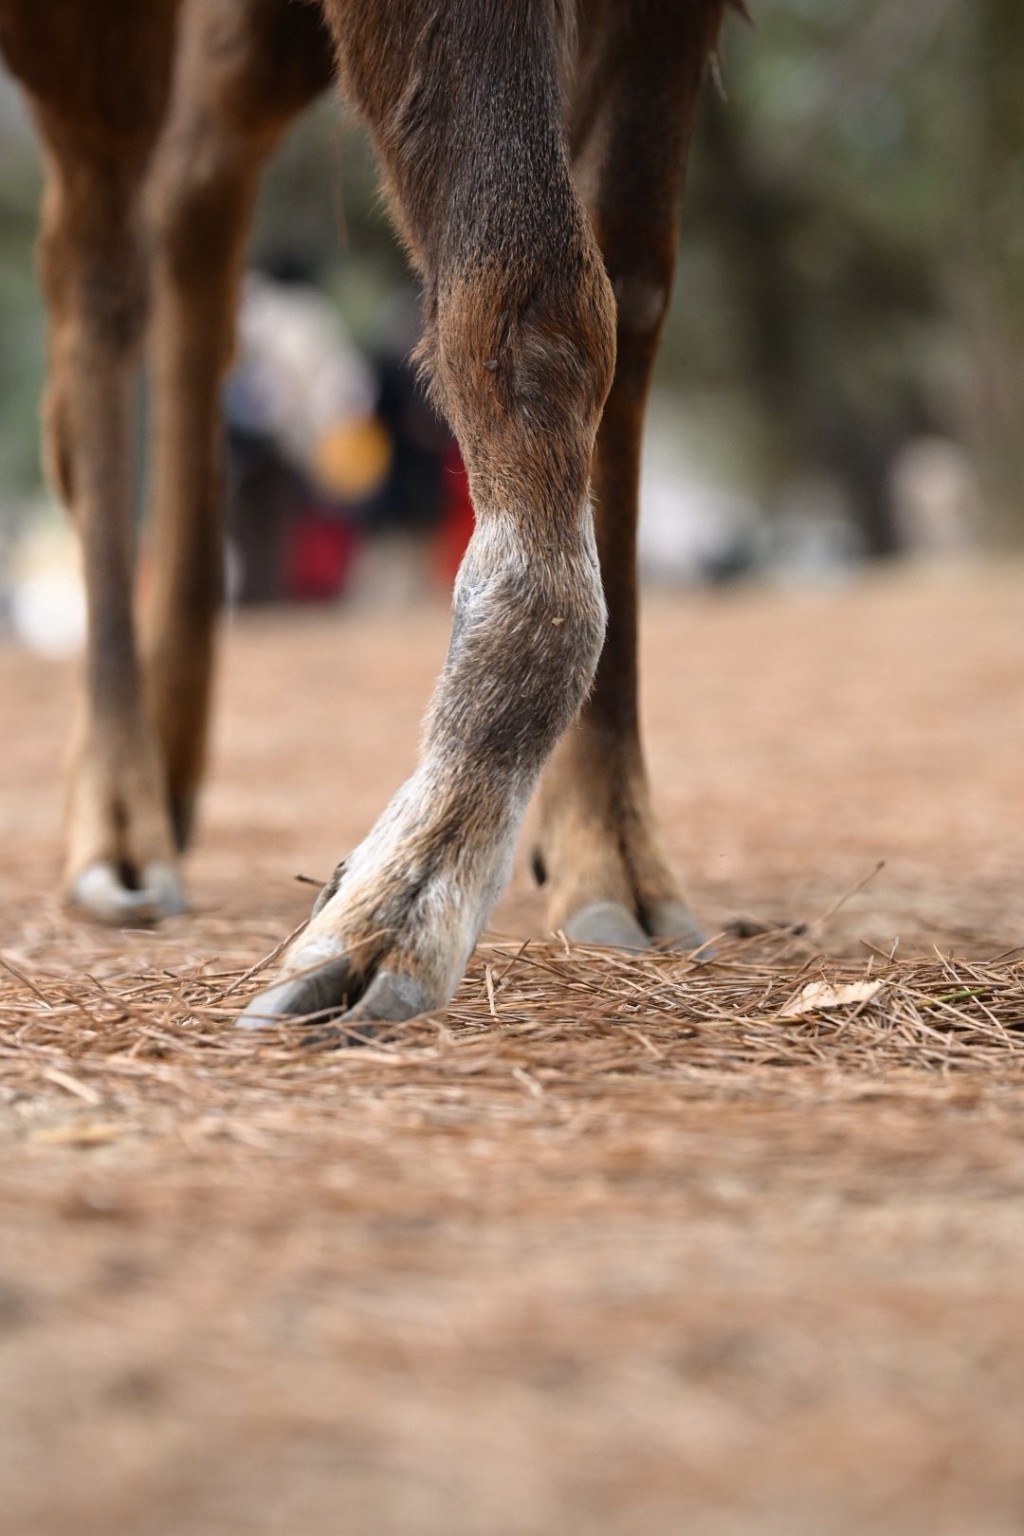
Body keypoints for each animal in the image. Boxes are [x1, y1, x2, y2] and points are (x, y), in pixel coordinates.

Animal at [0, 0, 733, 1028]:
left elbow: (632, 290)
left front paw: (610, 854)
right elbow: (538, 300)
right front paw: (405, 897)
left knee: (195, 171)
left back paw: (172, 753)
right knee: (95, 250)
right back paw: (118, 821)